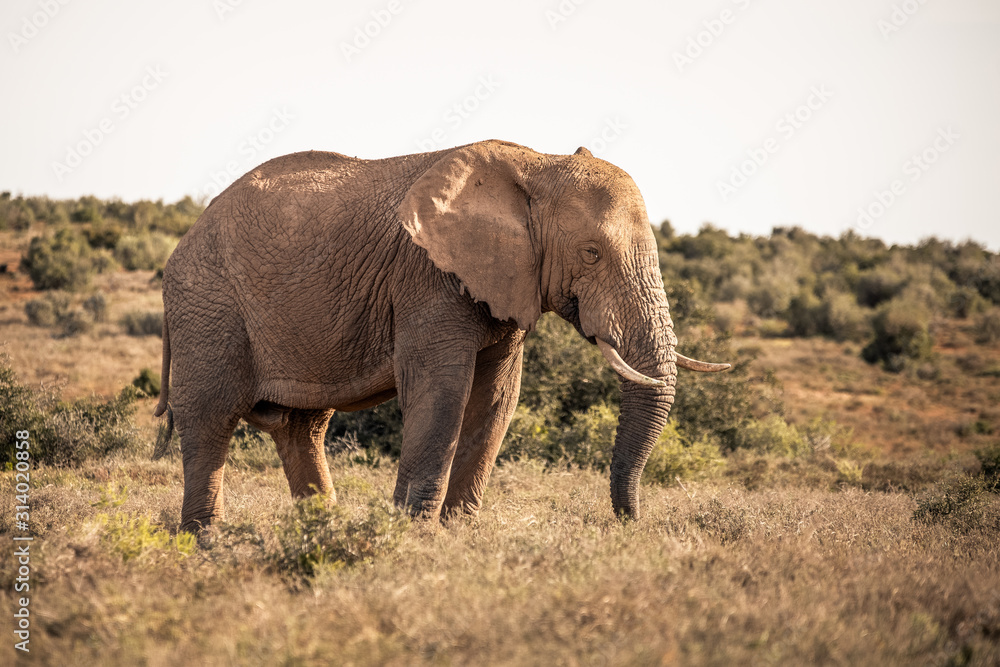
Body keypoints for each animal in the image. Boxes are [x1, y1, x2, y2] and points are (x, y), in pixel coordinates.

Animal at [153, 139, 729, 533]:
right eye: (591, 254)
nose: (629, 523)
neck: (536, 163)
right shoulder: (428, 276)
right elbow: (442, 393)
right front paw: (412, 532)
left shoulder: (503, 284)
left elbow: (497, 398)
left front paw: (459, 531)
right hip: (208, 307)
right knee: (210, 418)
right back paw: (204, 540)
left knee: (302, 427)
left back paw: (322, 529)